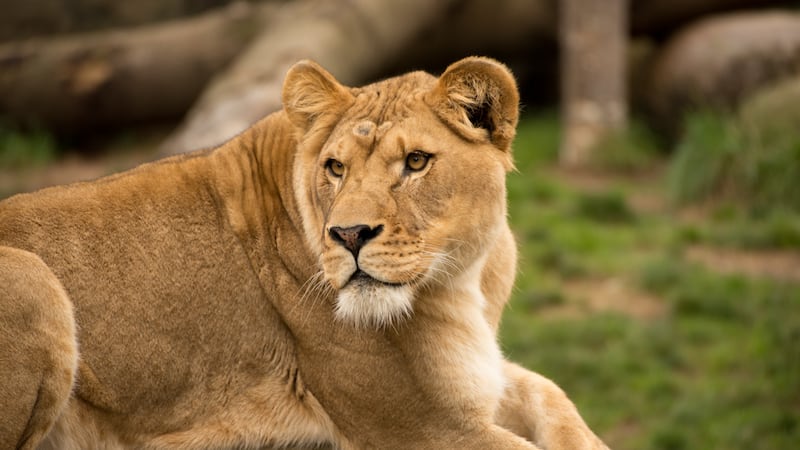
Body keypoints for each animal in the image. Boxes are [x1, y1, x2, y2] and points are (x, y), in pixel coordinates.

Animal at [0, 57, 609, 450]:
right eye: (335, 168)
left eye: (415, 161)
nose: (350, 235)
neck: (461, 278)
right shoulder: (422, 427)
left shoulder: (477, 379)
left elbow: (556, 400)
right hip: (29, 275)